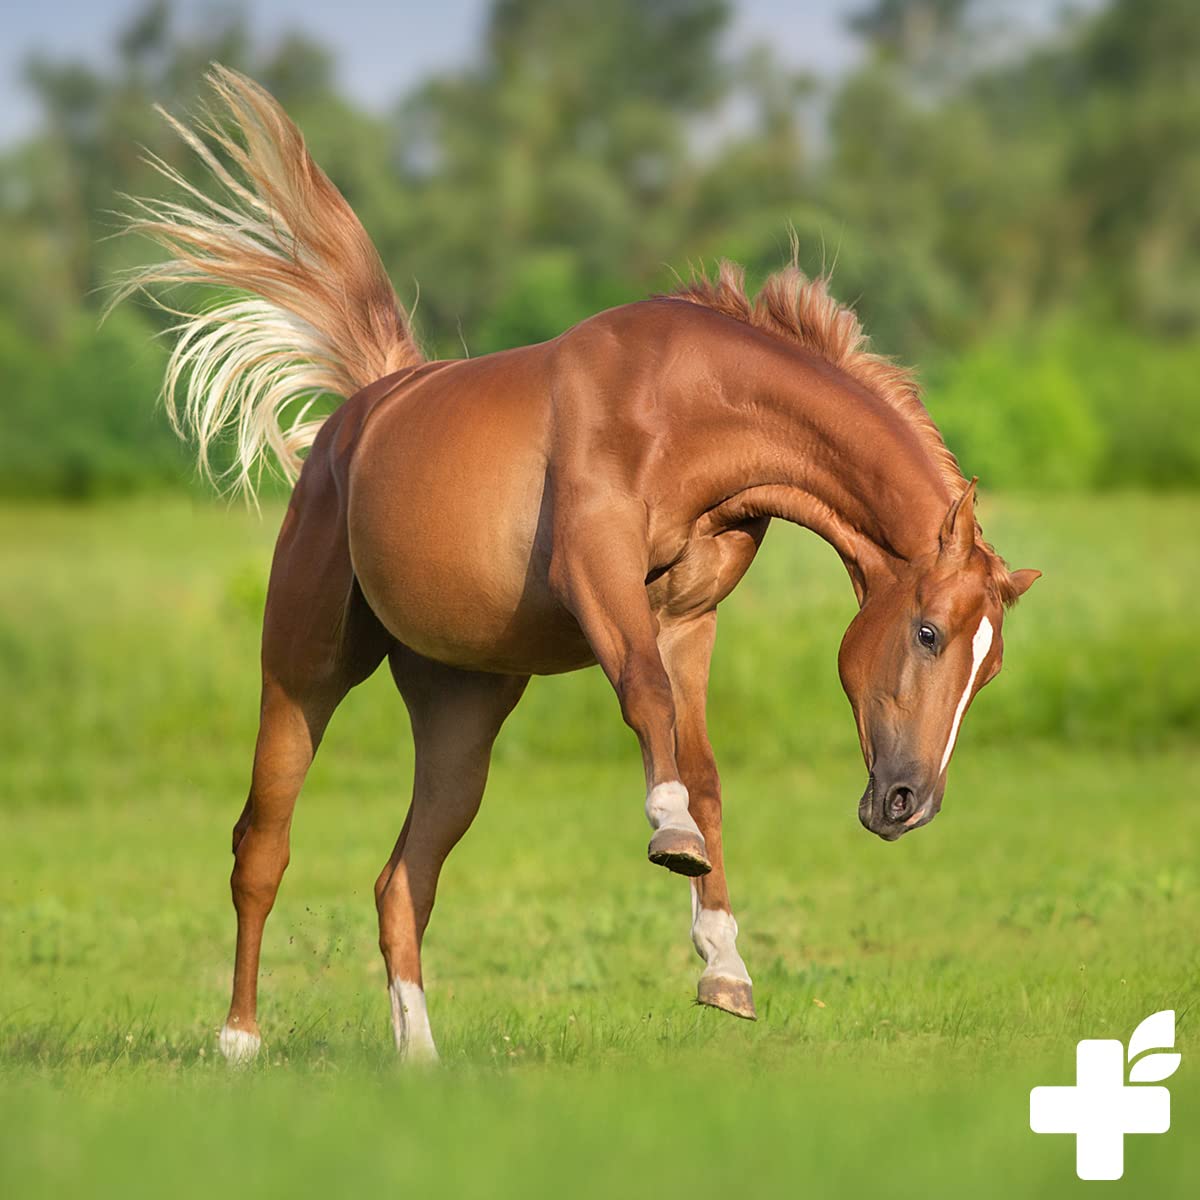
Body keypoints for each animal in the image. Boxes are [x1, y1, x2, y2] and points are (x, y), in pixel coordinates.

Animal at [120, 68, 1040, 1064]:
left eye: (989, 669)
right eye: (928, 632)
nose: (910, 803)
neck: (685, 404)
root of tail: (363, 412)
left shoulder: (686, 617)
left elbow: (703, 767)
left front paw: (724, 965)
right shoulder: (597, 575)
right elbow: (646, 701)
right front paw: (669, 834)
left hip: (460, 711)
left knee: (403, 879)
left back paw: (419, 1057)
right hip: (303, 672)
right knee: (263, 847)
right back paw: (239, 1043)